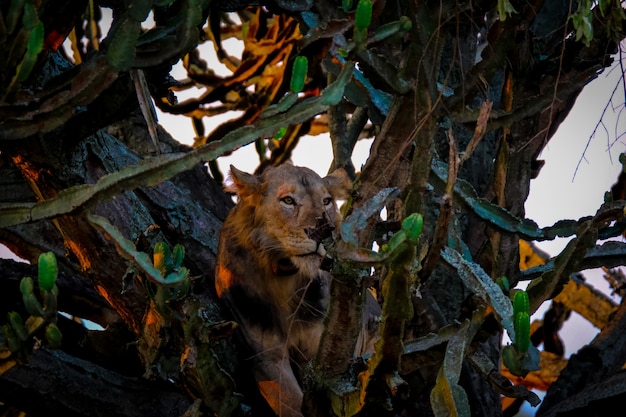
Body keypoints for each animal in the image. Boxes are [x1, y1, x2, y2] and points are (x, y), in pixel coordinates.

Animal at [213, 162, 354, 416]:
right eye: (288, 200)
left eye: (326, 201)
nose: (324, 232)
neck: (283, 275)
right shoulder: (266, 354)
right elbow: (291, 404)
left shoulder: (317, 348)